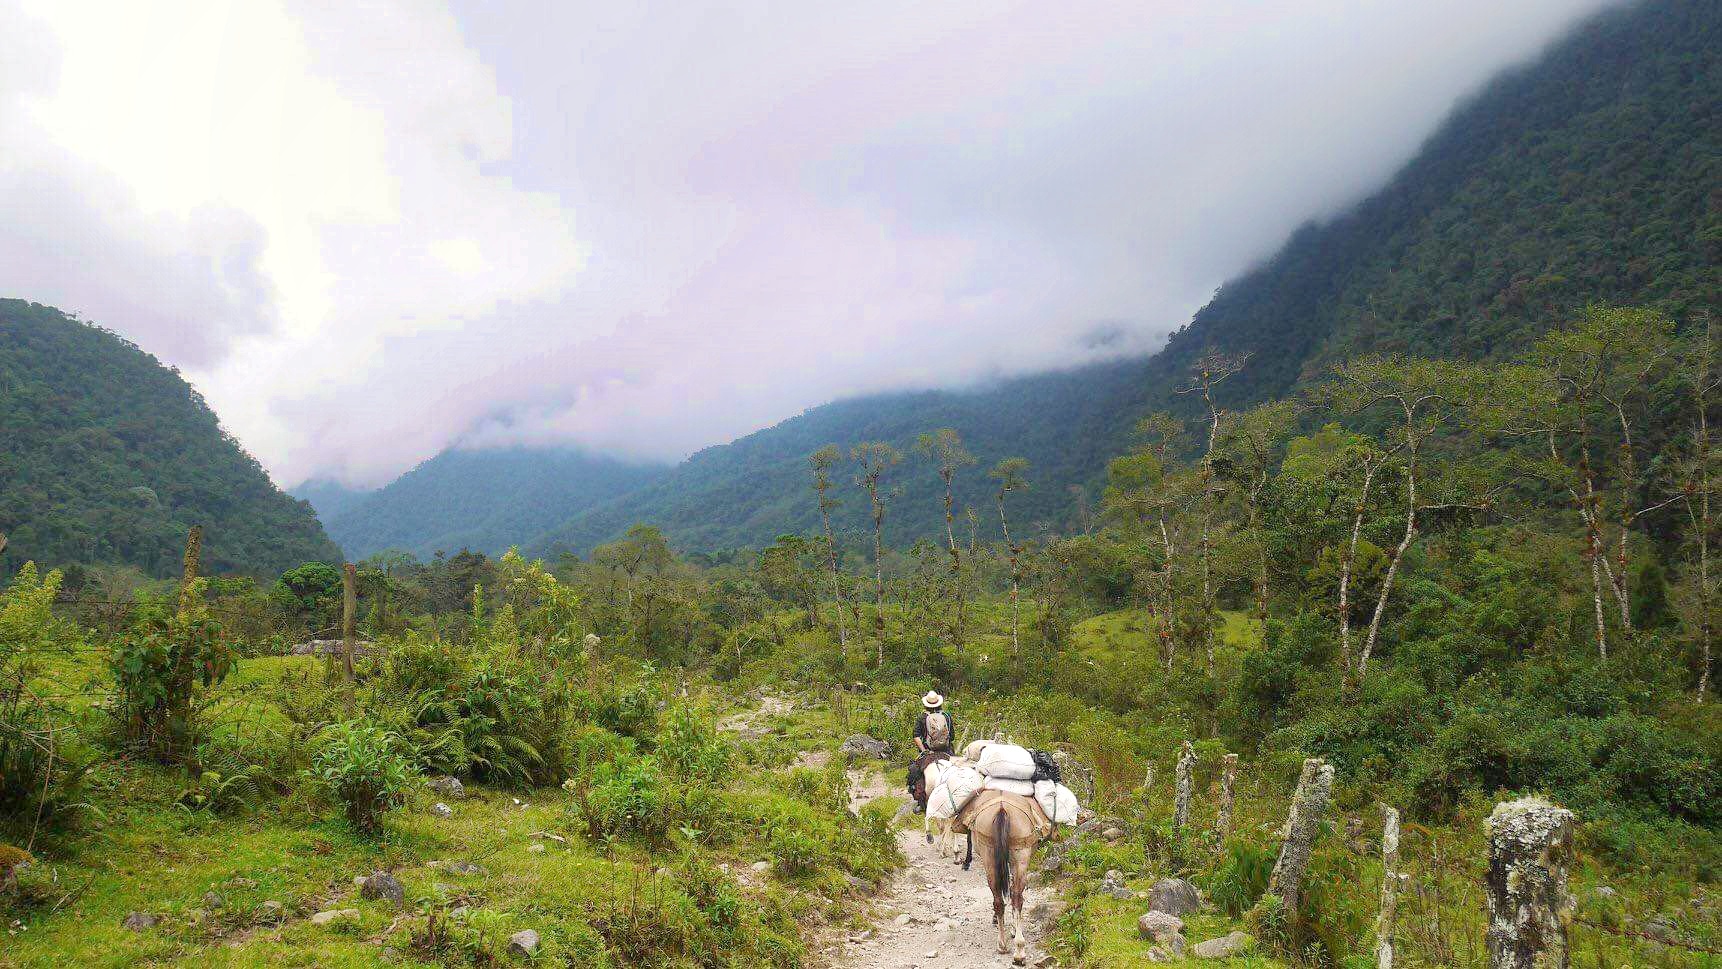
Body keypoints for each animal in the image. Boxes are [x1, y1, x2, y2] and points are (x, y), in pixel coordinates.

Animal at [967, 792, 1045, 964]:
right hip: (1020, 856)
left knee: (1000, 899)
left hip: (991, 858)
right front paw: (1013, 929)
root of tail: (1002, 809)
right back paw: (1018, 949)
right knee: (1015, 897)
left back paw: (1005, 945)